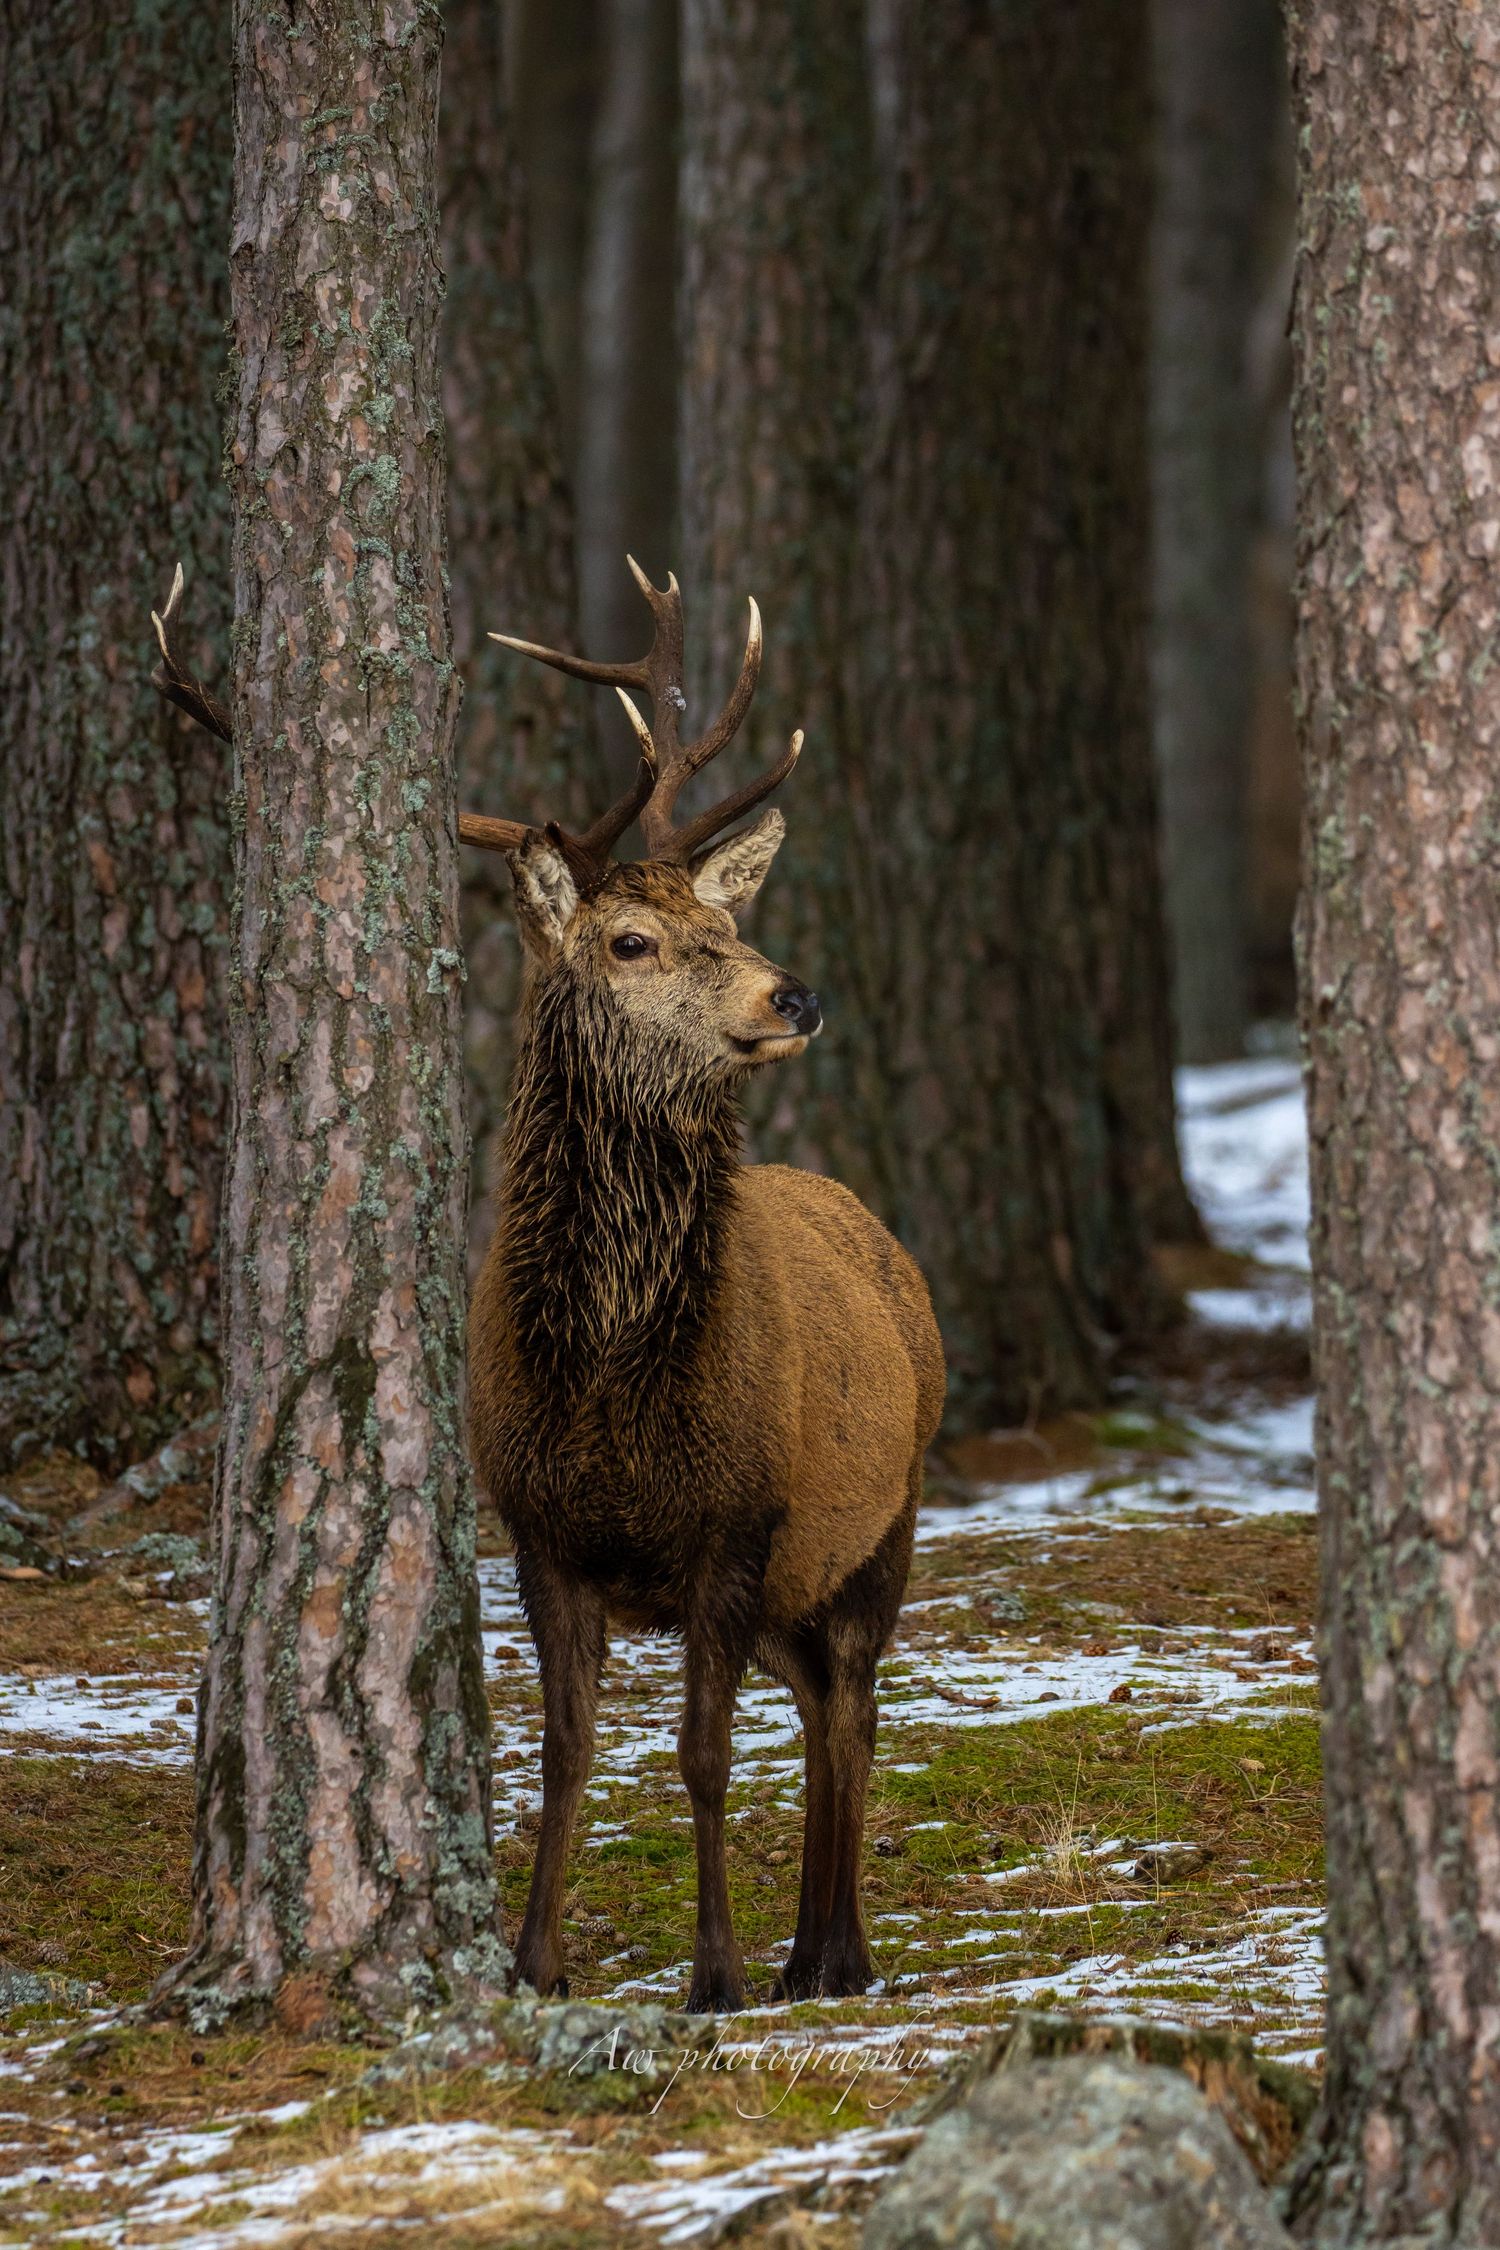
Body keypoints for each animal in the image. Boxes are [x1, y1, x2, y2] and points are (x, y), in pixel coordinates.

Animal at [148, 557, 945, 2013]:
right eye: (631, 939)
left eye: (726, 918)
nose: (794, 994)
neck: (613, 1378)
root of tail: (890, 1248)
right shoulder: (540, 1525)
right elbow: (566, 1752)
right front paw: (533, 1962)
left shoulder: (737, 1516)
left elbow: (699, 1754)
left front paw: (712, 1974)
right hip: (809, 1566)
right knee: (821, 1705)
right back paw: (812, 1949)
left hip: (886, 1515)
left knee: (856, 1704)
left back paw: (838, 1954)